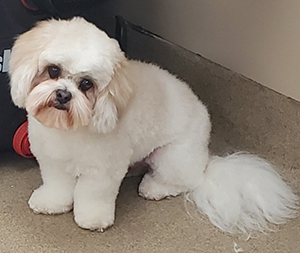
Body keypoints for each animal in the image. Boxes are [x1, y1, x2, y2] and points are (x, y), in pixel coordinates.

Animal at [8, 17, 298, 234]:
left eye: (86, 84)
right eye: (53, 70)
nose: (63, 95)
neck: (69, 131)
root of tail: (207, 159)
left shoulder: (102, 170)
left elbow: (92, 195)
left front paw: (92, 218)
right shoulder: (52, 160)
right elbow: (57, 185)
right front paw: (51, 203)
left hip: (172, 157)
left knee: (187, 180)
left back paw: (154, 187)